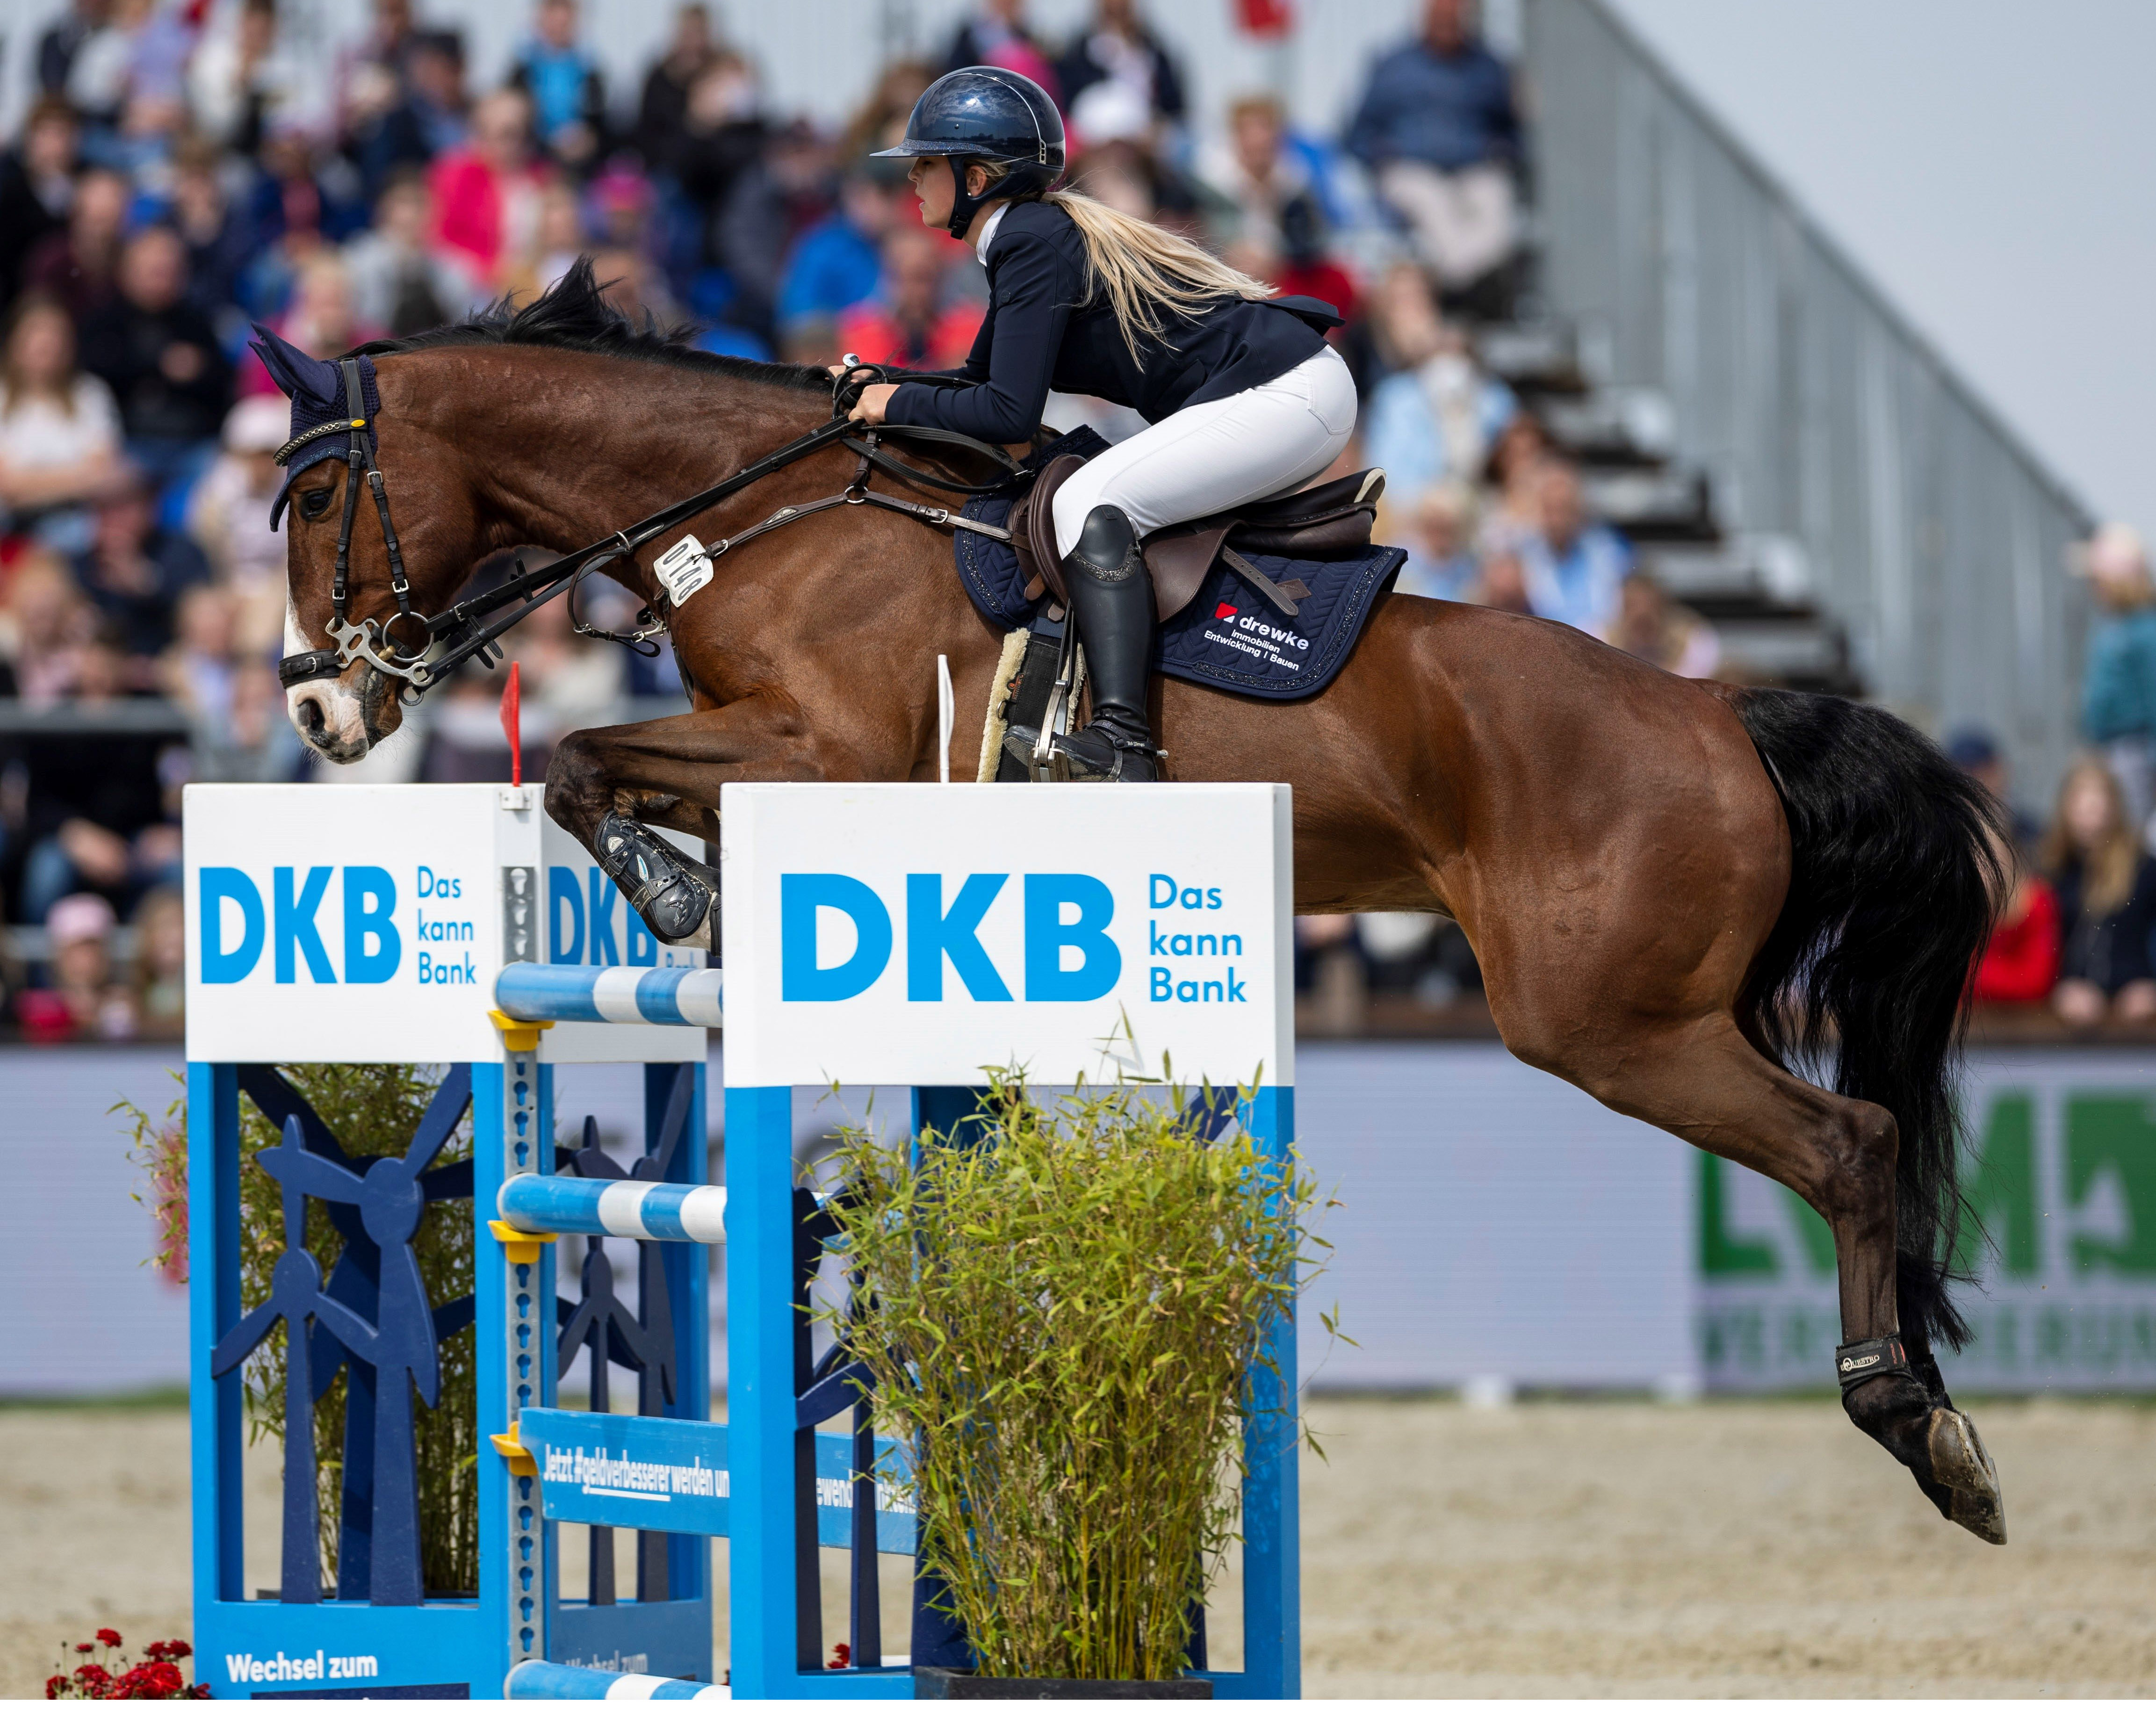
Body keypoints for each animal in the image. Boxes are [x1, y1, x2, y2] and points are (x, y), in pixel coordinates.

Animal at [269, 269, 2001, 1552]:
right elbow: (593, 766)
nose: (321, 717)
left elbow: (580, 756)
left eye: (316, 498)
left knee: (1851, 1144)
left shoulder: (823, 753)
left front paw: (676, 886)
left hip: (1607, 1021)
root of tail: (1724, 713)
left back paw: (1920, 1428)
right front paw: (683, 881)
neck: (758, 517)